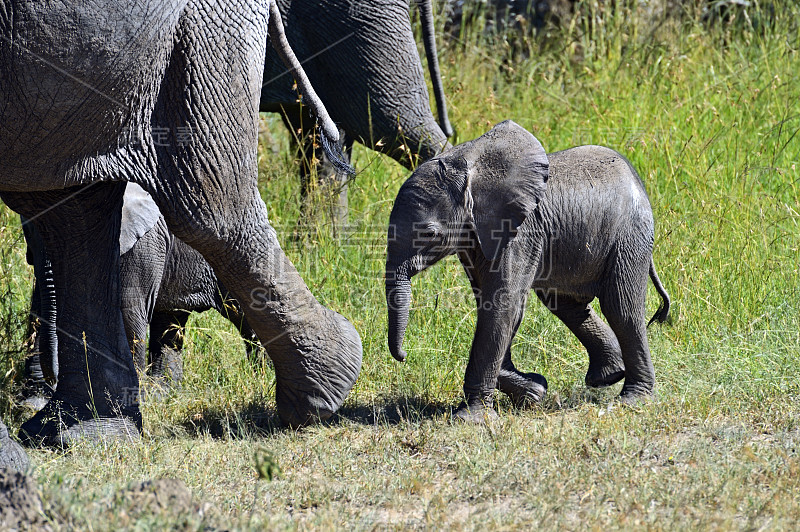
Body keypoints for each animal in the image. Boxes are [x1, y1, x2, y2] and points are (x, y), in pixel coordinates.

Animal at [0, 0, 362, 444]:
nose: (38, 384)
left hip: (200, 38)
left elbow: (133, 315)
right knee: (79, 218)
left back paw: (314, 396)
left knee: (209, 206)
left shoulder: (144, 250)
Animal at [386, 122, 668, 422]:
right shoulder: (476, 237)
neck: (467, 164)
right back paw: (607, 377)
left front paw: (470, 418)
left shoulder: (521, 232)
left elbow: (502, 306)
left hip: (630, 234)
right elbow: (495, 306)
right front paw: (533, 391)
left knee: (621, 308)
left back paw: (634, 400)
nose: (404, 355)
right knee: (568, 305)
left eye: (429, 234)